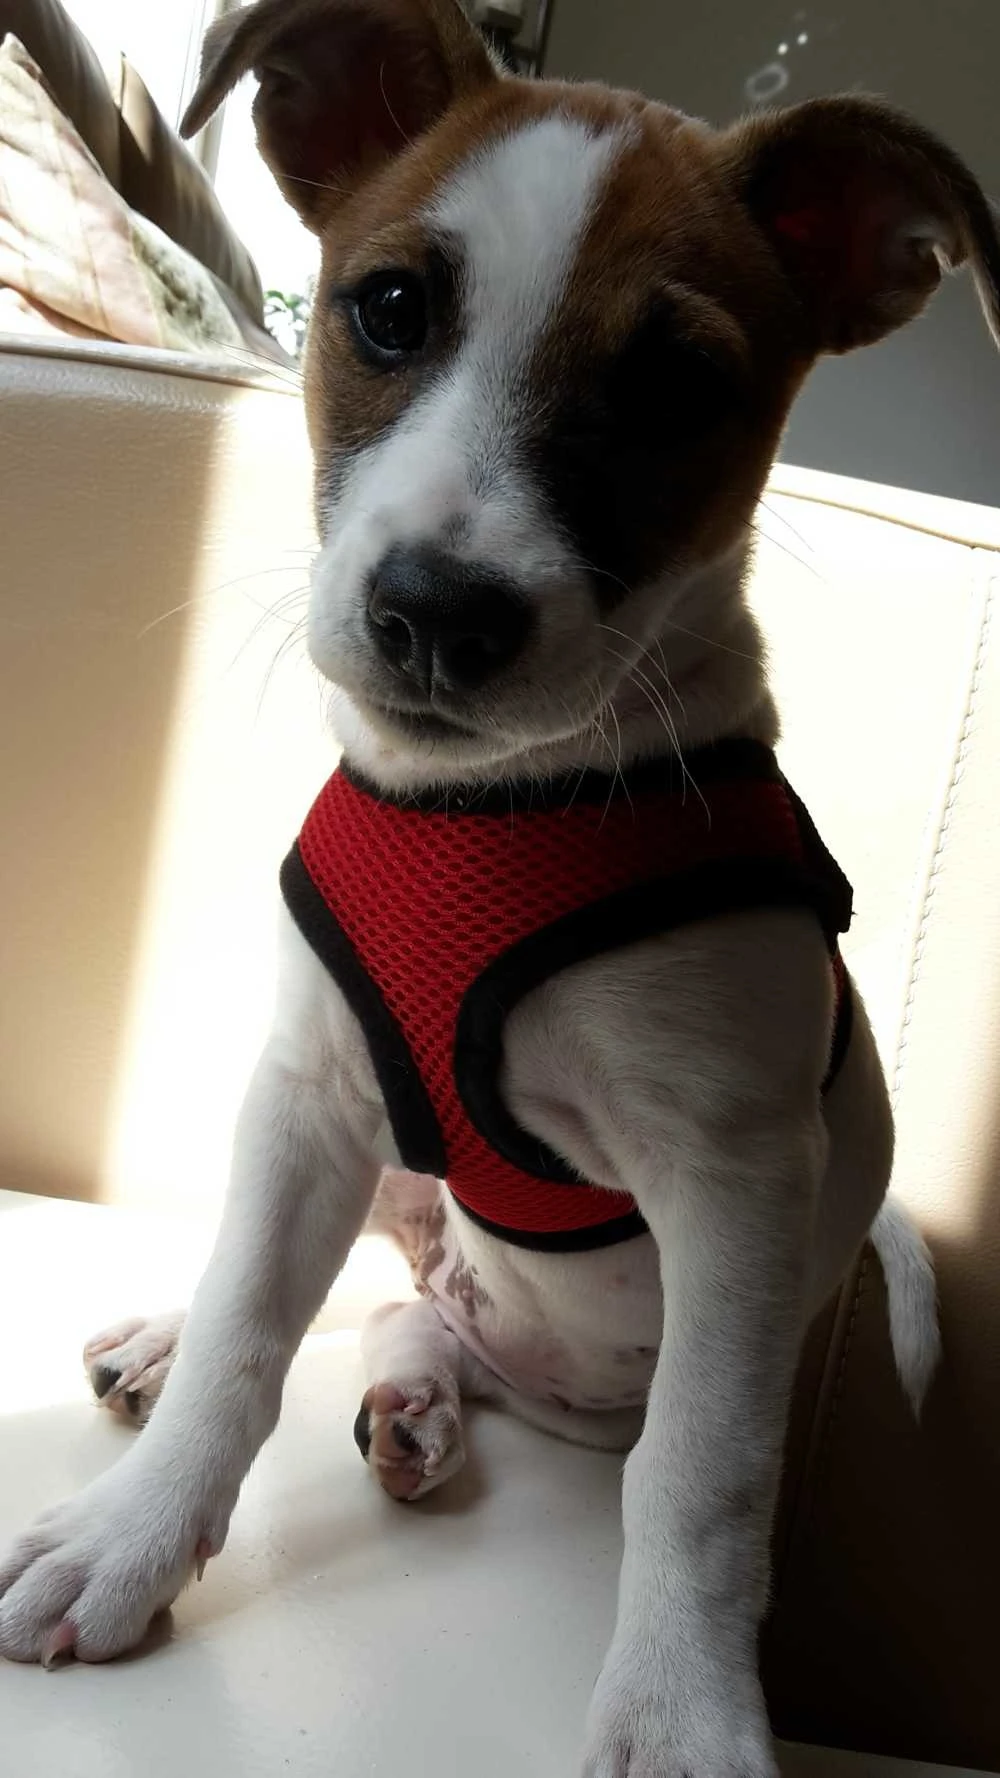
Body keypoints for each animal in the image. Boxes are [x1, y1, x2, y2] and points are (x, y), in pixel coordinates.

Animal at [3, 3, 999, 1773]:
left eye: (677, 387)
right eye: (390, 309)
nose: (436, 615)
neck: (492, 805)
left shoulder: (735, 1181)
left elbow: (702, 1475)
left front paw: (677, 1709)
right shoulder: (315, 1091)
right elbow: (251, 1320)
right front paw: (134, 1534)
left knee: (441, 1336)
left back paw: (415, 1404)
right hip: (381, 1168)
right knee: (346, 1283)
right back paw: (208, 1346)